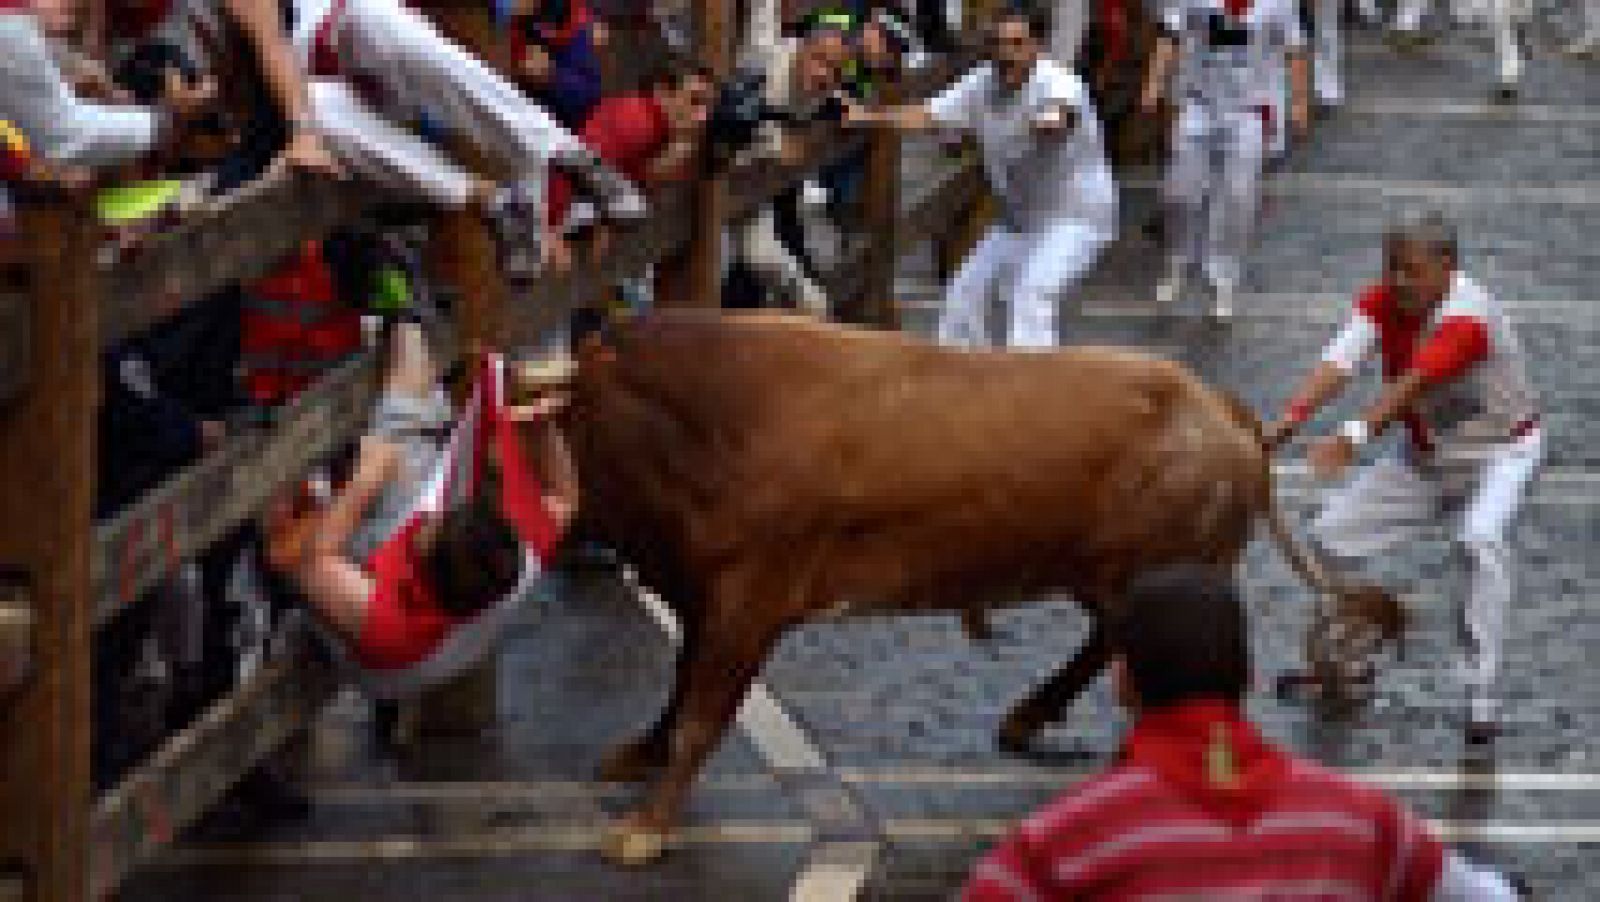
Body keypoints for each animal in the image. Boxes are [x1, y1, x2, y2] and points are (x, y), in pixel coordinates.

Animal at [553, 311, 1401, 863]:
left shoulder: (747, 598)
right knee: (1106, 646)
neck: (715, 417)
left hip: (1154, 576)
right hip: (1101, 577)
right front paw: (640, 756)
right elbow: (680, 685)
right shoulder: (698, 591)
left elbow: (704, 709)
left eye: (565, 428)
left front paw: (646, 827)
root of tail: (1218, 407)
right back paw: (1030, 719)